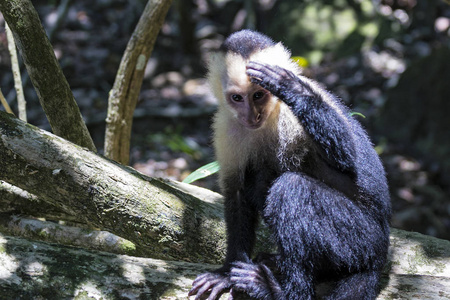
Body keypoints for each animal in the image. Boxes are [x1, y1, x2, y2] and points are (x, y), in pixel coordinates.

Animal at [189, 29, 390, 300]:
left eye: (258, 95)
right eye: (237, 98)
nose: (251, 116)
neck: (269, 117)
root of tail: (380, 257)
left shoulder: (292, 113)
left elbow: (347, 158)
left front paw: (290, 86)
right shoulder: (227, 126)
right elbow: (237, 192)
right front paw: (226, 272)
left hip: (364, 241)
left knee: (291, 189)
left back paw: (281, 291)